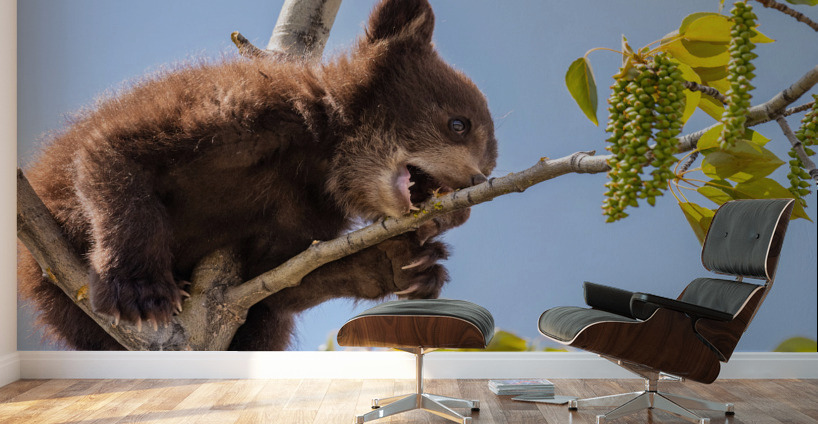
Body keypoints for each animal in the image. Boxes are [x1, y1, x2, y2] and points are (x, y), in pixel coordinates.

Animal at [18, 0, 498, 351]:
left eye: (492, 162)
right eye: (460, 124)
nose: (475, 187)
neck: (320, 161)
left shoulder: (301, 214)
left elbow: (275, 282)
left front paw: (405, 264)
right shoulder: (244, 115)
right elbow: (115, 151)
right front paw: (138, 290)